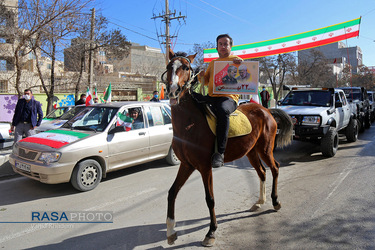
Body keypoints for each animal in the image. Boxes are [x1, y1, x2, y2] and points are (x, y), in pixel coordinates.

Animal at [164, 48, 294, 246]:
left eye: (186, 67)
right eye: (169, 66)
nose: (173, 89)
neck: (189, 124)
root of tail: (266, 110)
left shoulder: (204, 167)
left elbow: (210, 199)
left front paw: (211, 232)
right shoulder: (187, 165)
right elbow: (172, 192)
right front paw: (171, 231)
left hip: (265, 149)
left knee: (275, 168)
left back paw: (275, 201)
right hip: (251, 152)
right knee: (262, 172)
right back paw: (259, 201)